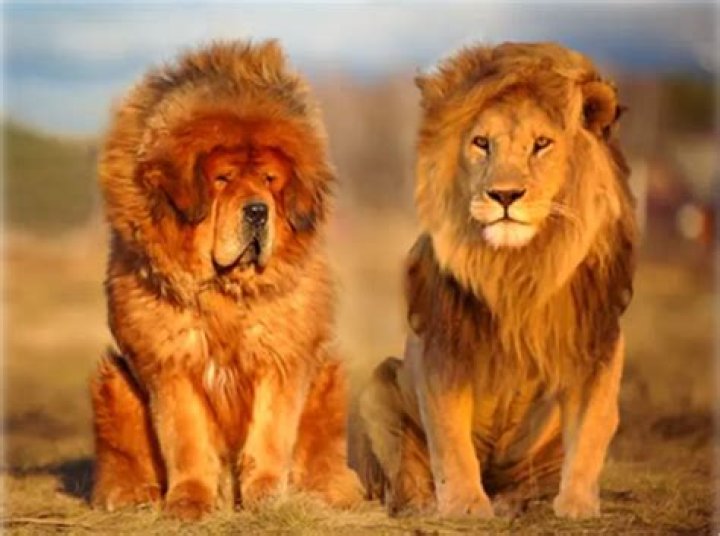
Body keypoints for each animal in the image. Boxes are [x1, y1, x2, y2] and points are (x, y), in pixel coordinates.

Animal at [90, 40, 362, 520]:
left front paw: (267, 498)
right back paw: (132, 494)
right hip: (112, 381)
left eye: (270, 180)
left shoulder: (281, 359)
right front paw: (190, 502)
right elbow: (187, 441)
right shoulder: (170, 364)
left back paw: (322, 491)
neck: (223, 290)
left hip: (329, 377)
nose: (257, 210)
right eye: (223, 178)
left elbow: (269, 439)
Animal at [359, 42, 637, 519]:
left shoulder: (595, 342)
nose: (505, 195)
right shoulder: (443, 345)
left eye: (541, 145)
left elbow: (592, 428)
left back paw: (518, 501)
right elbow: (450, 438)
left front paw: (577, 506)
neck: (516, 269)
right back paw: (423, 504)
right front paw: (466, 506)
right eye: (481, 143)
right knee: (408, 469)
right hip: (377, 384)